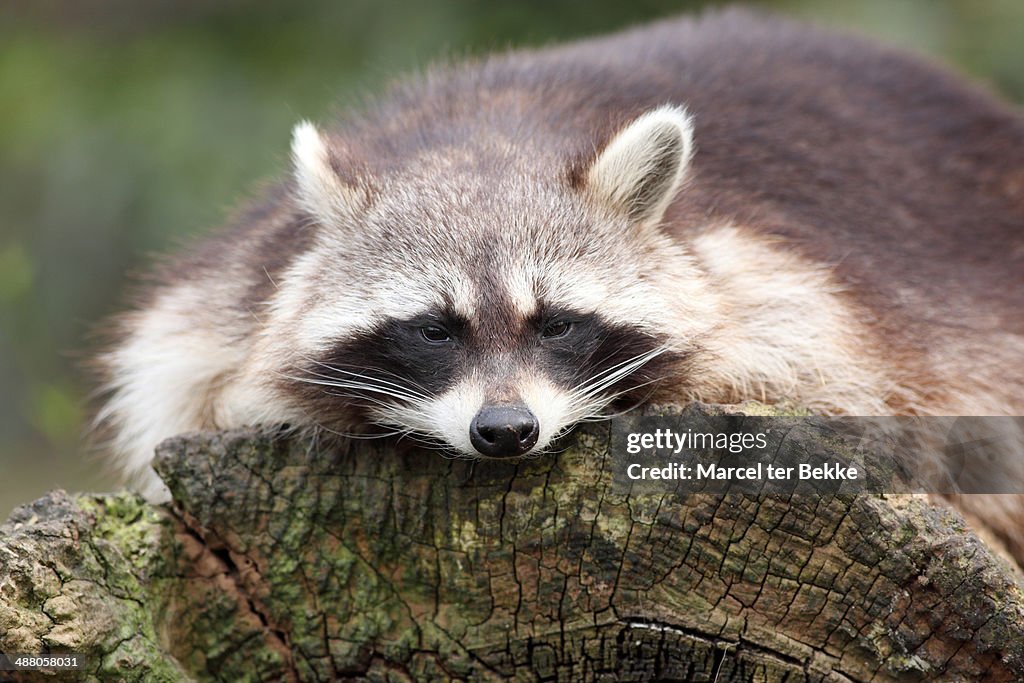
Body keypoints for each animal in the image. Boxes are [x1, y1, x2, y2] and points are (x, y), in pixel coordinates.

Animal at [95, 10, 1024, 554]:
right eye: (434, 328)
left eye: (556, 323)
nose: (506, 430)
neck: (488, 136)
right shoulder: (227, 288)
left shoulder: (793, 283)